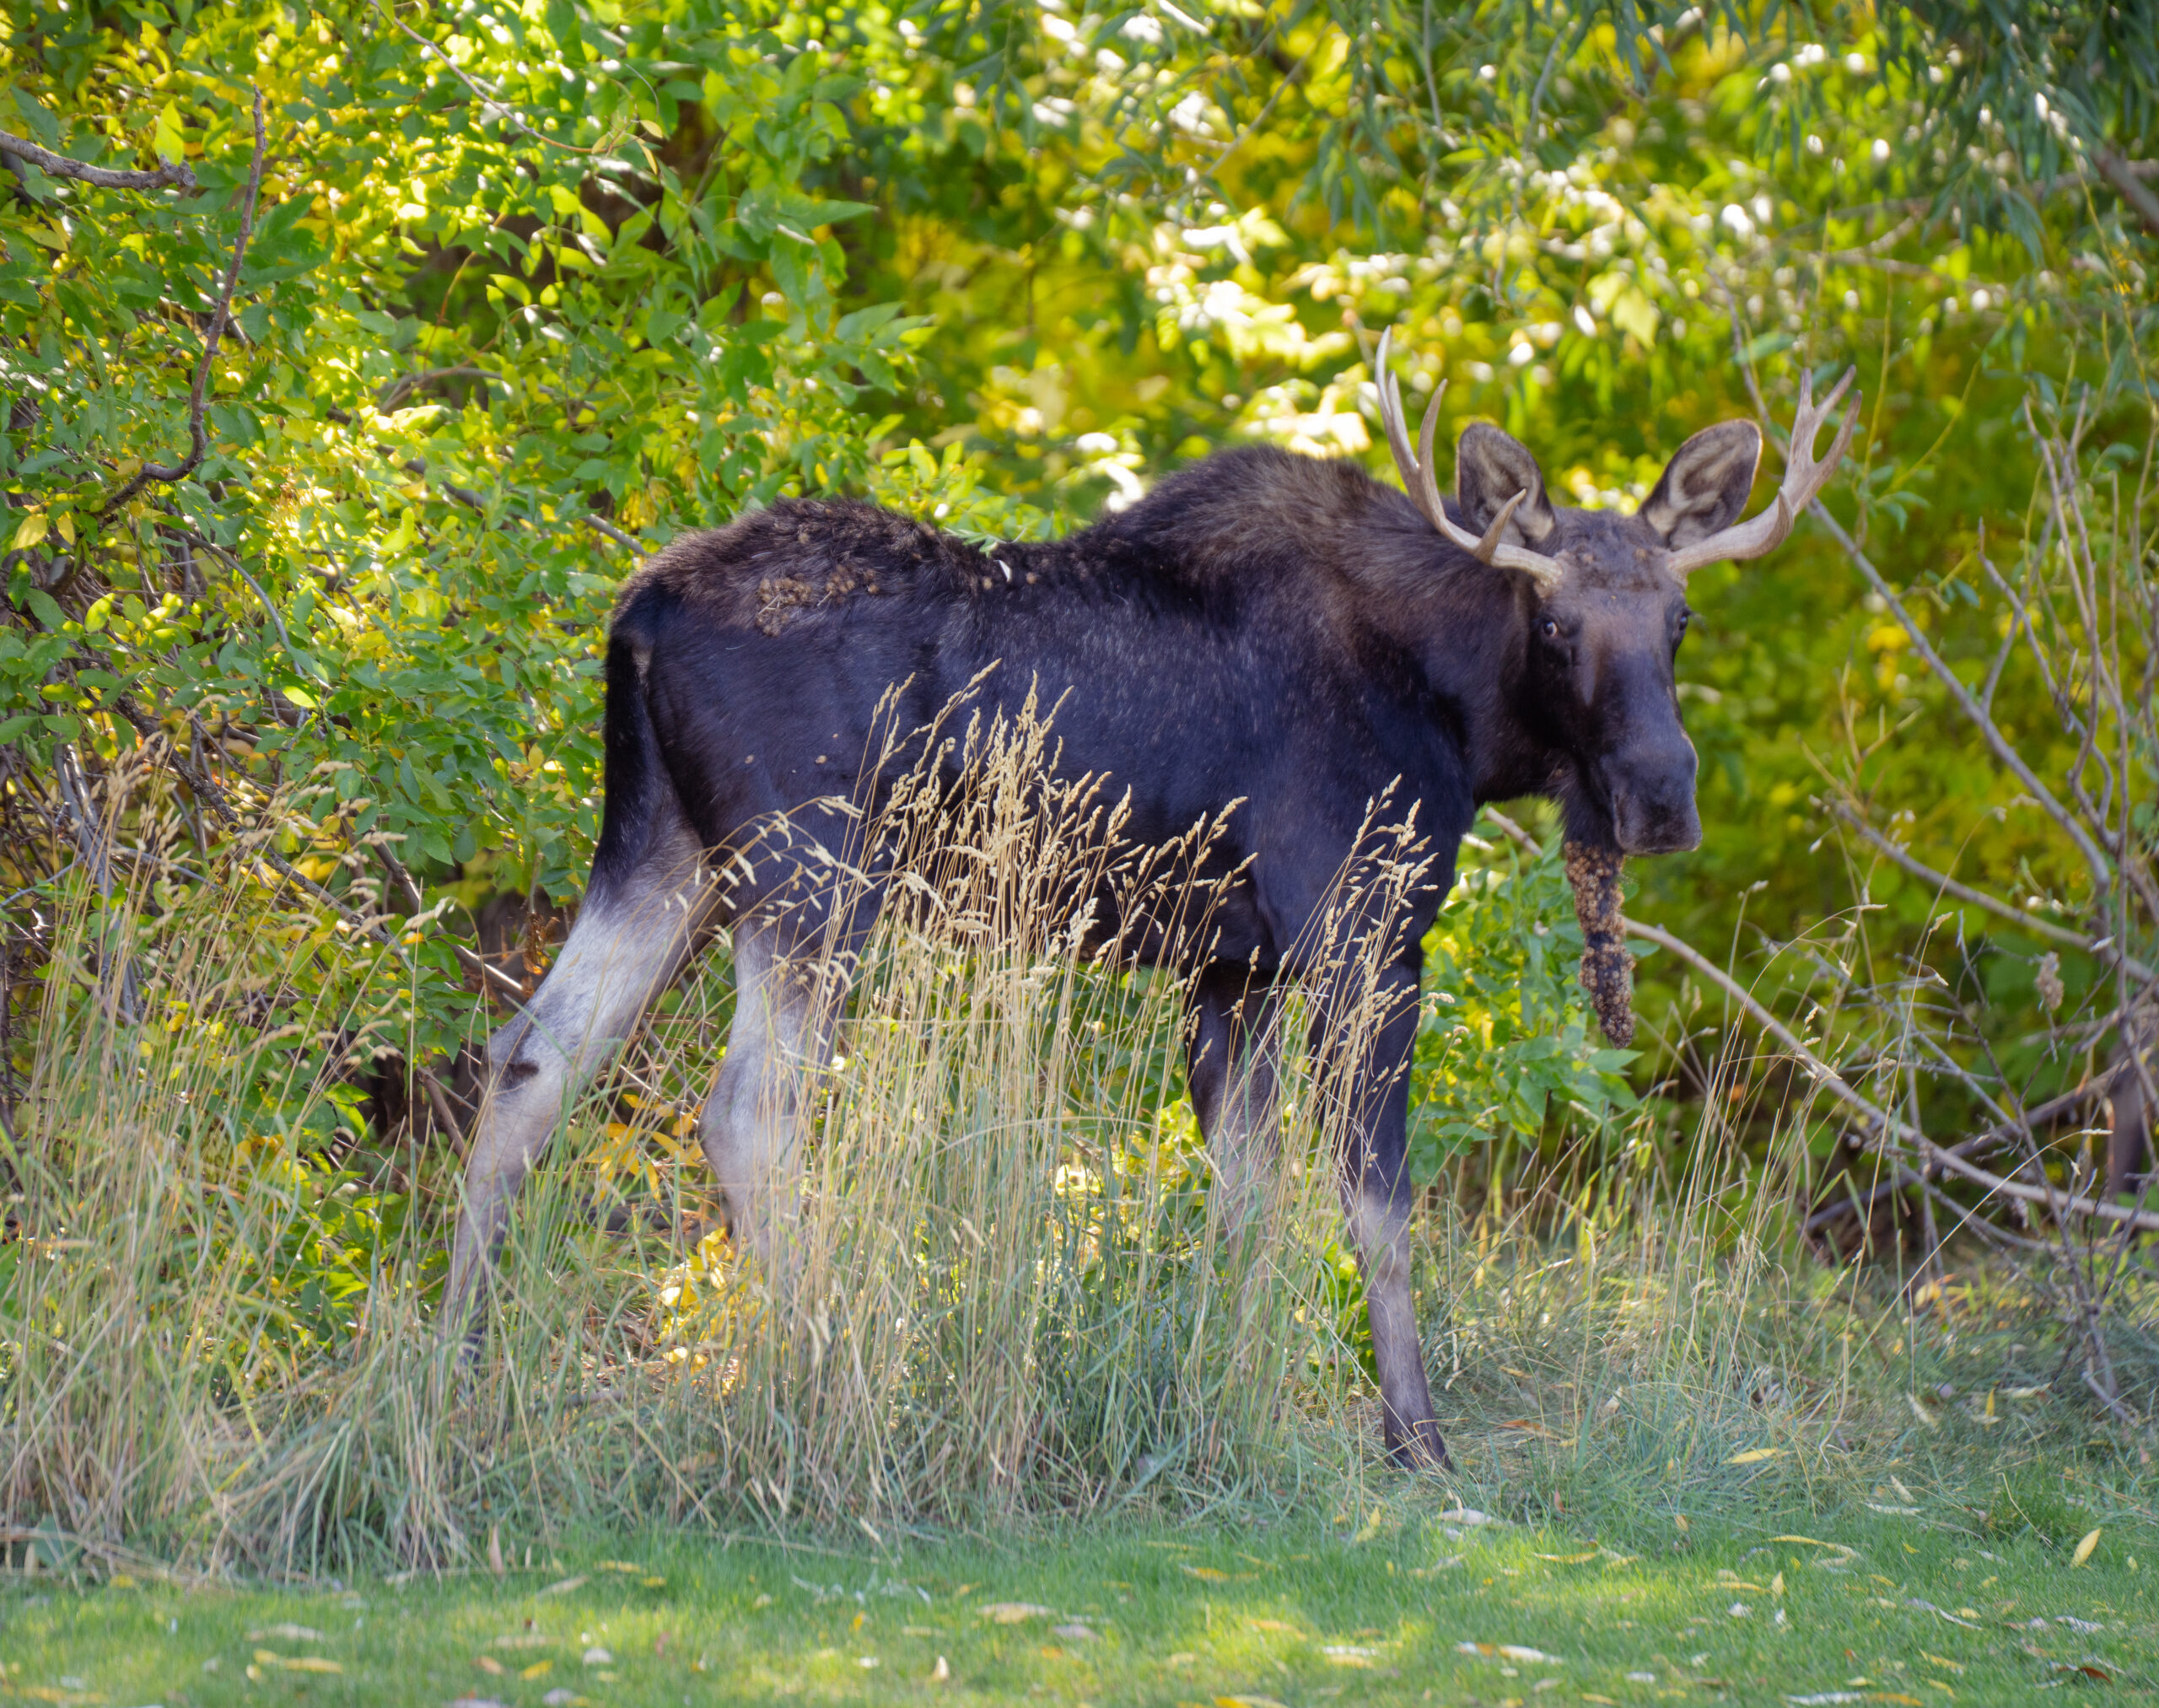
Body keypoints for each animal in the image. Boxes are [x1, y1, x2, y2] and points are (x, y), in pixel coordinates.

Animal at [444, 330, 1856, 1469]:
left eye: (1679, 621)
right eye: (1558, 627)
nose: (1659, 794)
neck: (1462, 715)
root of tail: (634, 614)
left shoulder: (1229, 969)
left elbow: (1246, 1204)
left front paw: (1218, 1400)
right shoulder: (1367, 935)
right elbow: (1378, 1206)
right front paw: (1415, 1435)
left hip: (659, 848)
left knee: (530, 1059)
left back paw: (445, 1374)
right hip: (812, 876)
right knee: (747, 1112)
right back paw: (816, 1378)